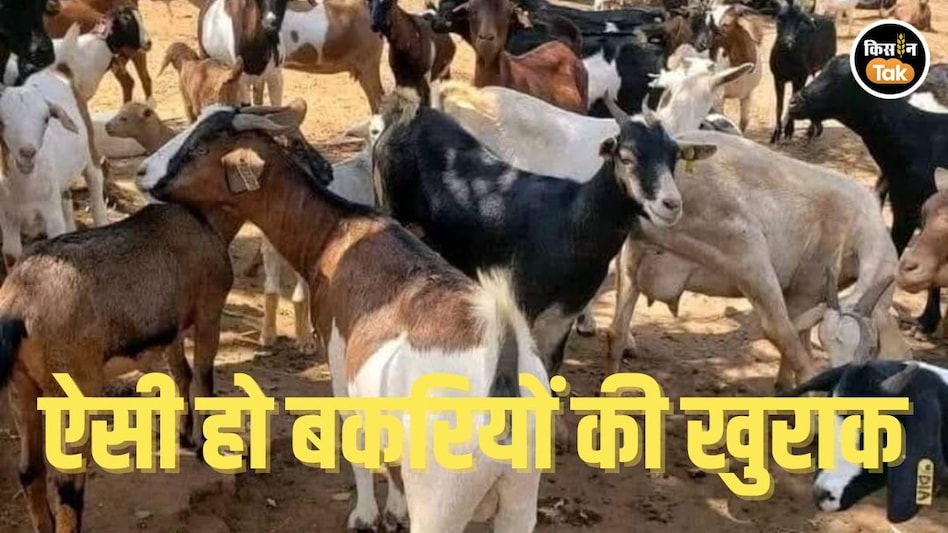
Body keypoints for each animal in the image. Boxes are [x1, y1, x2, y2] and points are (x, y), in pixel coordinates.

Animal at [0, 55, 108, 266]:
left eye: (46, 119)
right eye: (1, 121)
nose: (27, 152)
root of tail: (56, 69)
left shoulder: (50, 212)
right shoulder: (7, 218)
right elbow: (12, 254)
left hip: (90, 147)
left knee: (96, 184)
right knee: (67, 198)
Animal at [135, 99, 549, 533]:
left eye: (199, 149)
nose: (141, 173)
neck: (336, 232)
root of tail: (502, 370)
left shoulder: (336, 352)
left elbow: (356, 436)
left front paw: (366, 514)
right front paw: (394, 510)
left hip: (441, 502)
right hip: (520, 499)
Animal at [769, 0, 836, 143]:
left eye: (799, 21)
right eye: (779, 17)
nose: (787, 42)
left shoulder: (800, 77)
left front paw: (789, 130)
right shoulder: (778, 77)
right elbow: (779, 106)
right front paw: (776, 134)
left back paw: (811, 130)